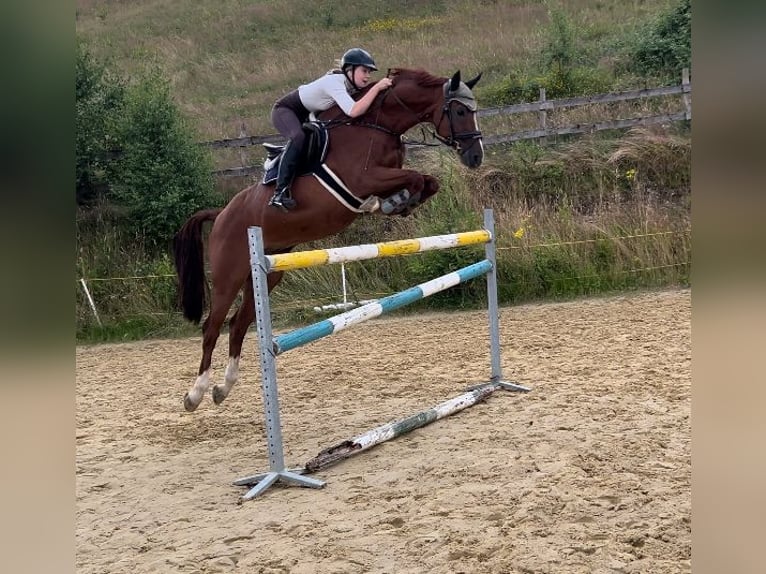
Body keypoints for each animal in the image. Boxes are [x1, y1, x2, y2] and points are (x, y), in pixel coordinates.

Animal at [175, 67, 486, 412]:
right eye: (460, 111)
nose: (476, 156)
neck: (376, 124)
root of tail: (221, 214)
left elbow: (429, 182)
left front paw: (398, 203)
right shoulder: (364, 178)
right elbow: (417, 178)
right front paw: (389, 203)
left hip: (265, 274)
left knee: (238, 326)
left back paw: (223, 388)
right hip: (228, 275)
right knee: (212, 327)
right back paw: (196, 394)